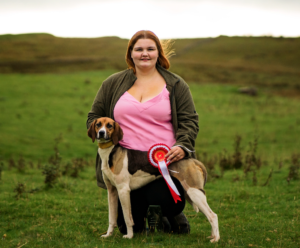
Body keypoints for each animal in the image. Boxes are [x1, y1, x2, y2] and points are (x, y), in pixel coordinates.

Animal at [88, 117, 219, 241]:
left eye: (109, 125)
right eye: (98, 124)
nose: (101, 133)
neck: (110, 153)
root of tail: (193, 161)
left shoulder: (123, 190)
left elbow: (127, 217)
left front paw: (129, 236)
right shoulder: (112, 192)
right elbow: (111, 218)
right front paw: (108, 235)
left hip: (194, 193)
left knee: (213, 216)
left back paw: (215, 239)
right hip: (191, 193)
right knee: (210, 215)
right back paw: (212, 236)